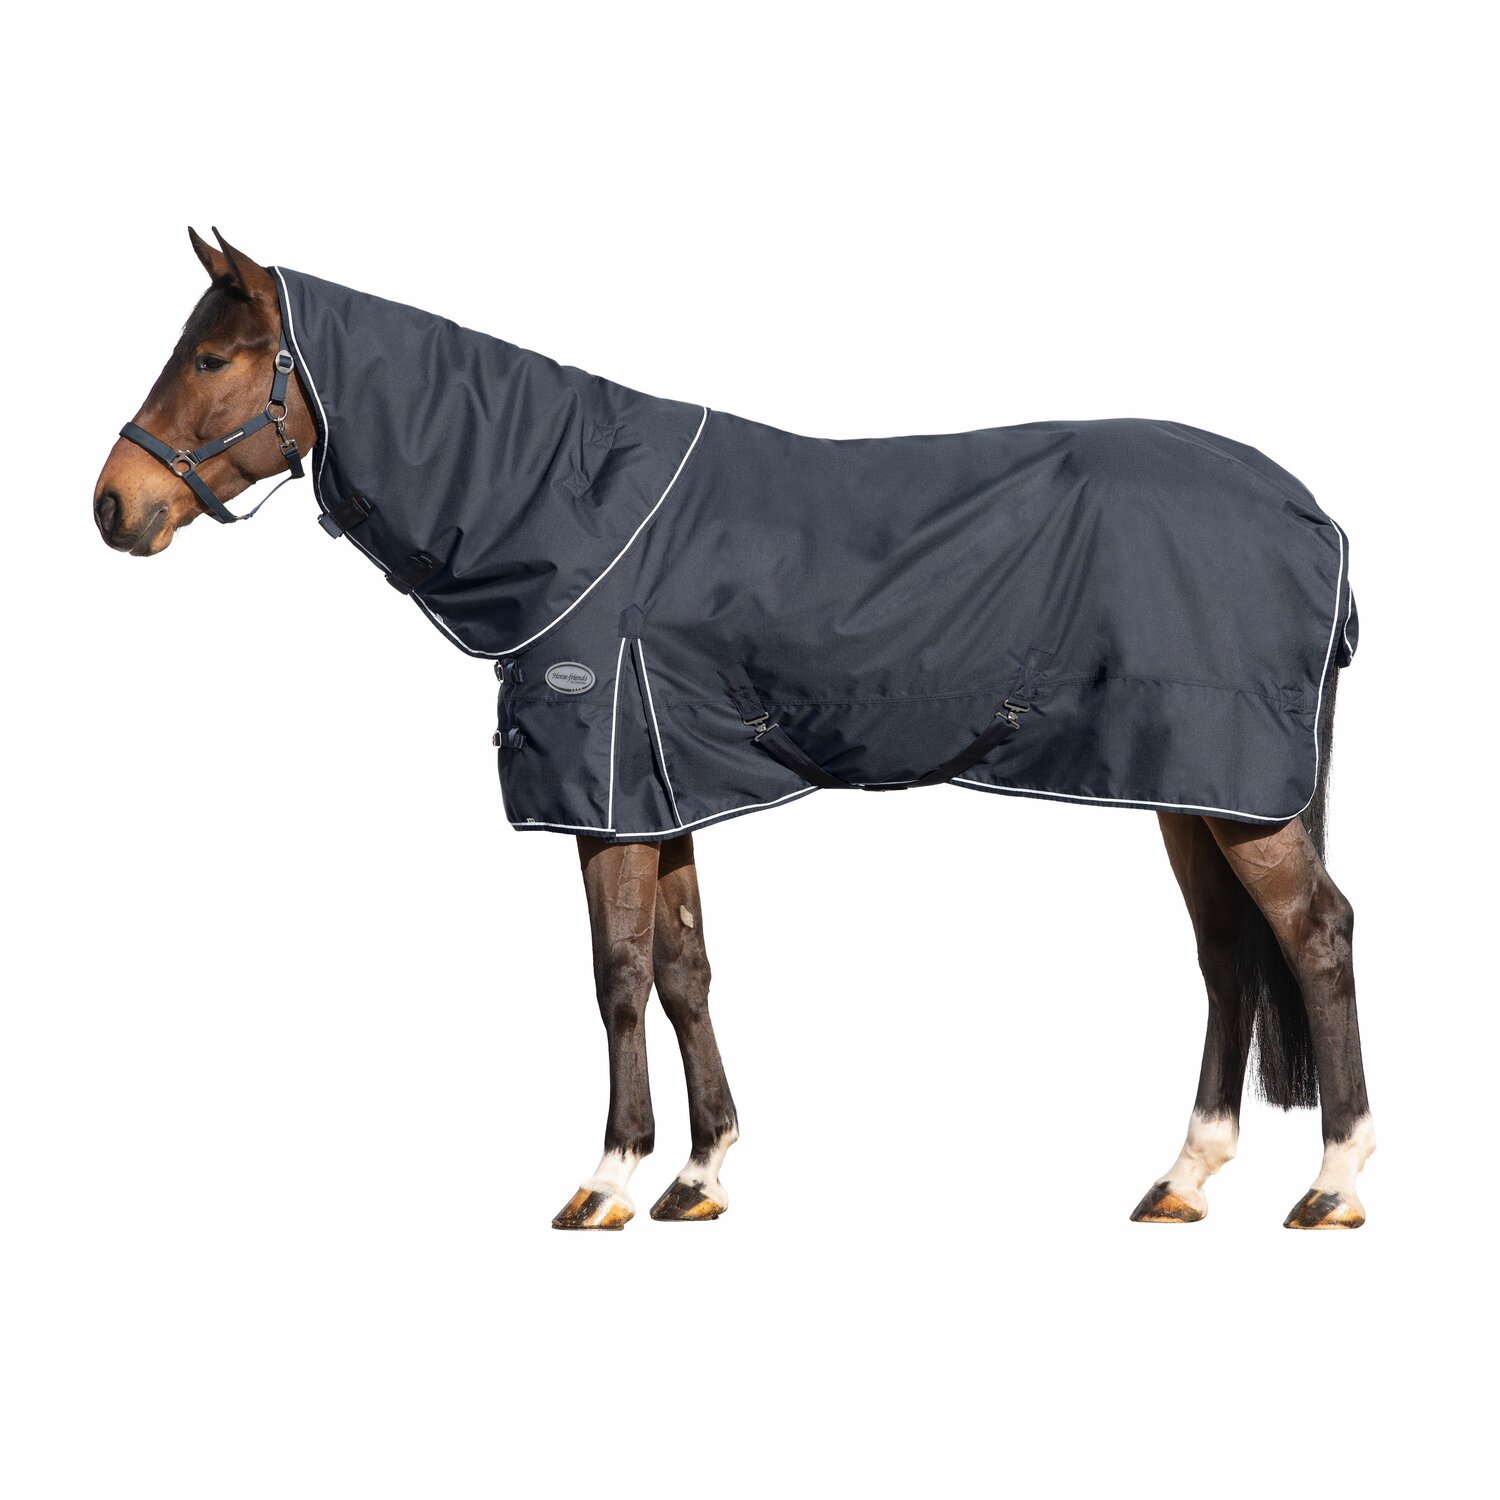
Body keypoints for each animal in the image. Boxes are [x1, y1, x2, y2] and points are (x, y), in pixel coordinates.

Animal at [92, 228, 1374, 1230]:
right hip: (1190, 788)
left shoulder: (605, 787)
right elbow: (685, 971)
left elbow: (615, 977)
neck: (574, 507)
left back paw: (1335, 1181)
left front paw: (608, 1179)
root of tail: (1312, 513)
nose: (113, 505)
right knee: (1227, 955)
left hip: (1230, 792)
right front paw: (700, 1174)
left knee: (1314, 934)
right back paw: (1186, 1178)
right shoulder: (663, 787)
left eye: (211, 358)